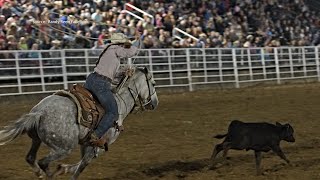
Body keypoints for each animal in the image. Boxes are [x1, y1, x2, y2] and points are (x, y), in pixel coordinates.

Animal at [0, 67, 159, 179]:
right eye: (153, 83)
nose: (155, 103)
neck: (120, 102)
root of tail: (39, 112)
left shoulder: (86, 143)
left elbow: (82, 161)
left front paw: (63, 169)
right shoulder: (100, 145)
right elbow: (82, 164)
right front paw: (63, 169)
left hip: (37, 140)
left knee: (31, 158)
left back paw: (39, 173)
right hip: (64, 148)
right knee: (43, 162)